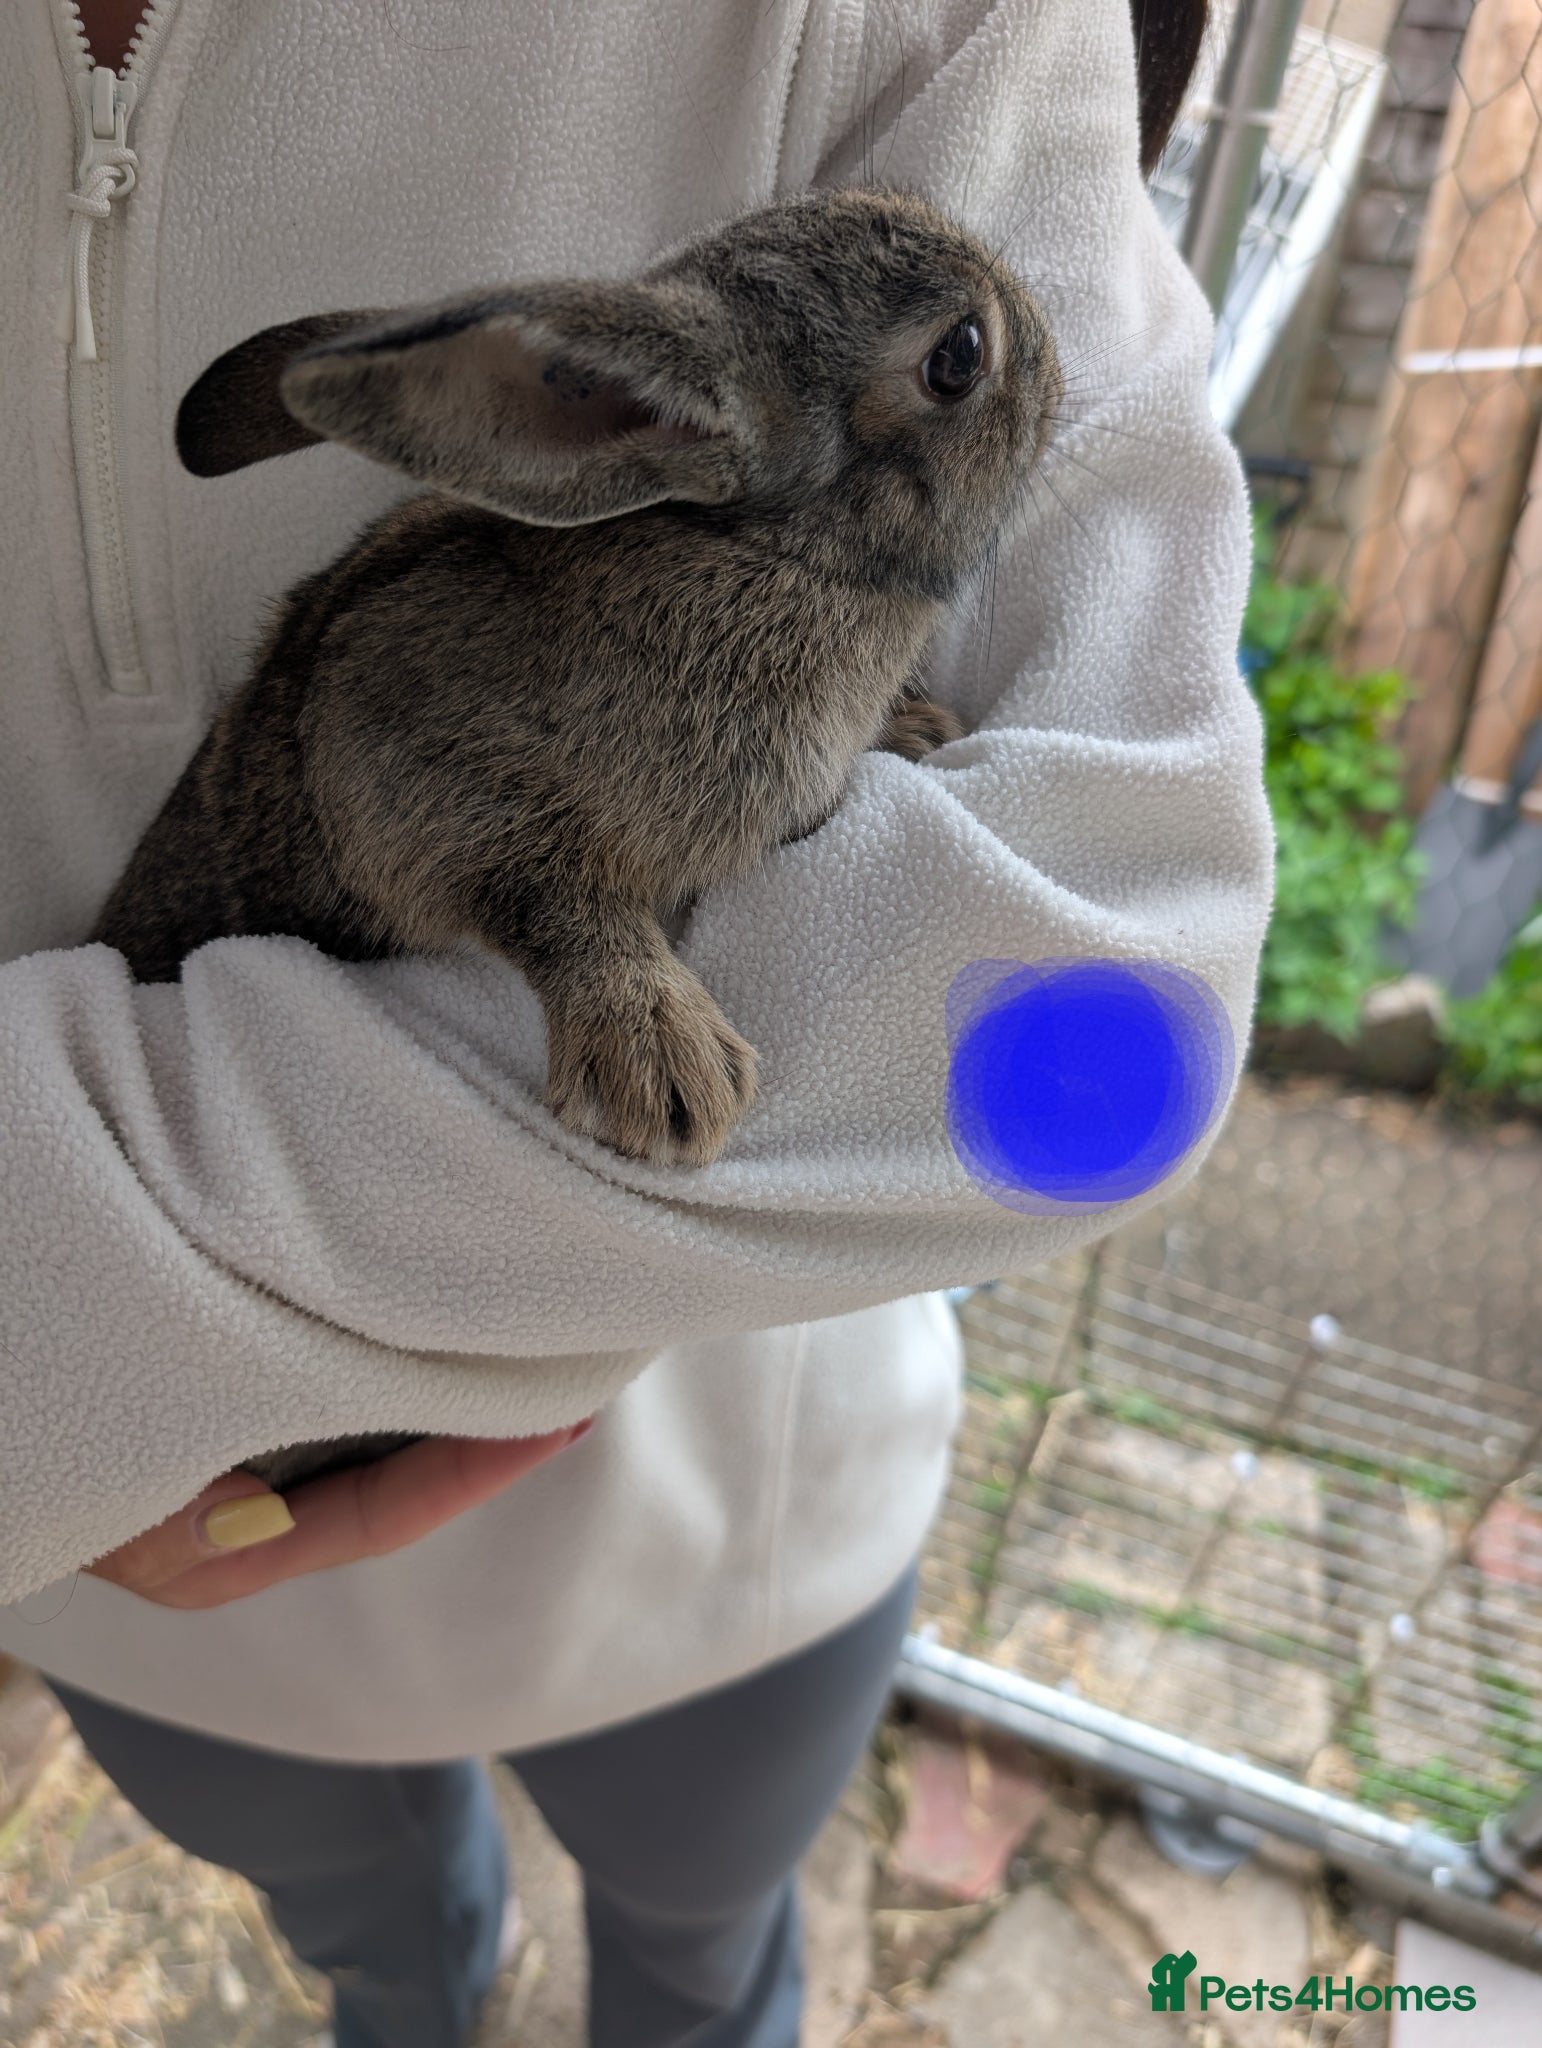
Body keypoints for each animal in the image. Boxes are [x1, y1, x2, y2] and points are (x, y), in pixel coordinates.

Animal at [91, 184, 1062, 1489]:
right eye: (959, 356)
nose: (1055, 355)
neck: (759, 547)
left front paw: (914, 725)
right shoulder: (403, 759)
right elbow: (546, 894)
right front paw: (665, 1061)